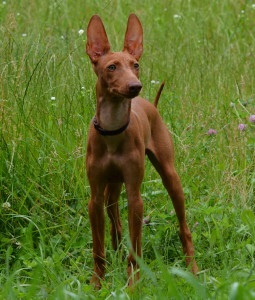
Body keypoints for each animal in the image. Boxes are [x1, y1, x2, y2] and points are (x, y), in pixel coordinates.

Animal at [85, 13, 197, 288]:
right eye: (111, 67)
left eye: (135, 64)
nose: (136, 86)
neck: (112, 130)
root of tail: (151, 105)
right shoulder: (94, 198)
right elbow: (98, 249)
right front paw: (97, 283)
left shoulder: (135, 198)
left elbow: (135, 247)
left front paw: (133, 283)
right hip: (111, 188)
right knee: (114, 218)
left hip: (170, 177)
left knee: (184, 227)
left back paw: (193, 268)